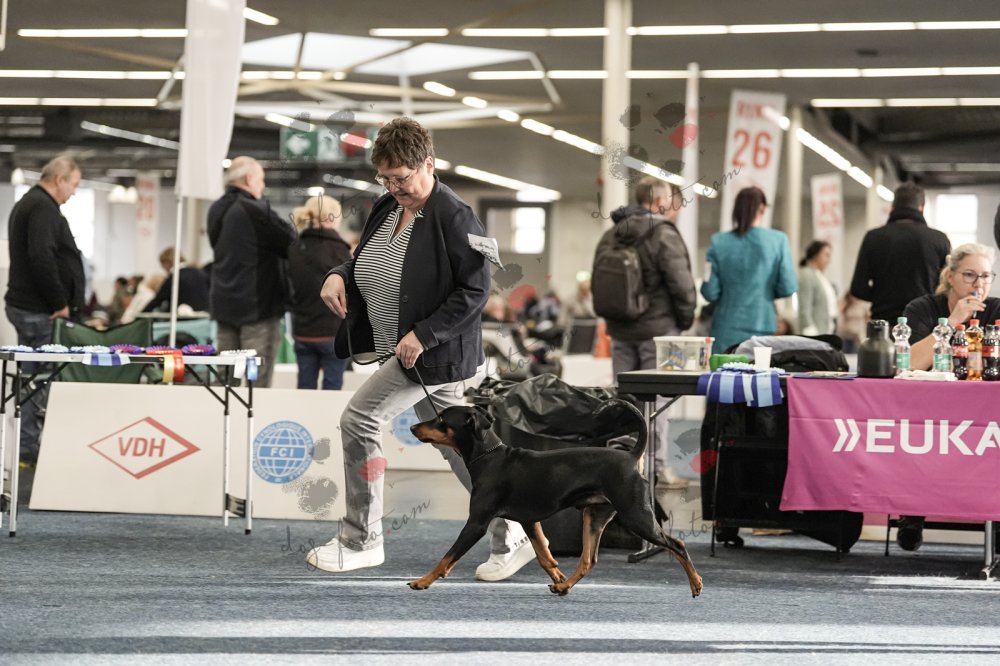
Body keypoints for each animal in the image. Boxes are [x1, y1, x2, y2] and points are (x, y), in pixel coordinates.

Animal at [409, 400, 703, 597]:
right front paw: (557, 575)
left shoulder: (476, 524)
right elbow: (544, 554)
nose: (412, 426)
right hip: (595, 517)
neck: (489, 457)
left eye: (442, 419)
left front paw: (422, 581)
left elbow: (447, 557)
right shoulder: (530, 521)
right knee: (588, 560)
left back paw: (696, 583)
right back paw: (564, 586)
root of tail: (631, 456)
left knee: (677, 544)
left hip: (637, 517)